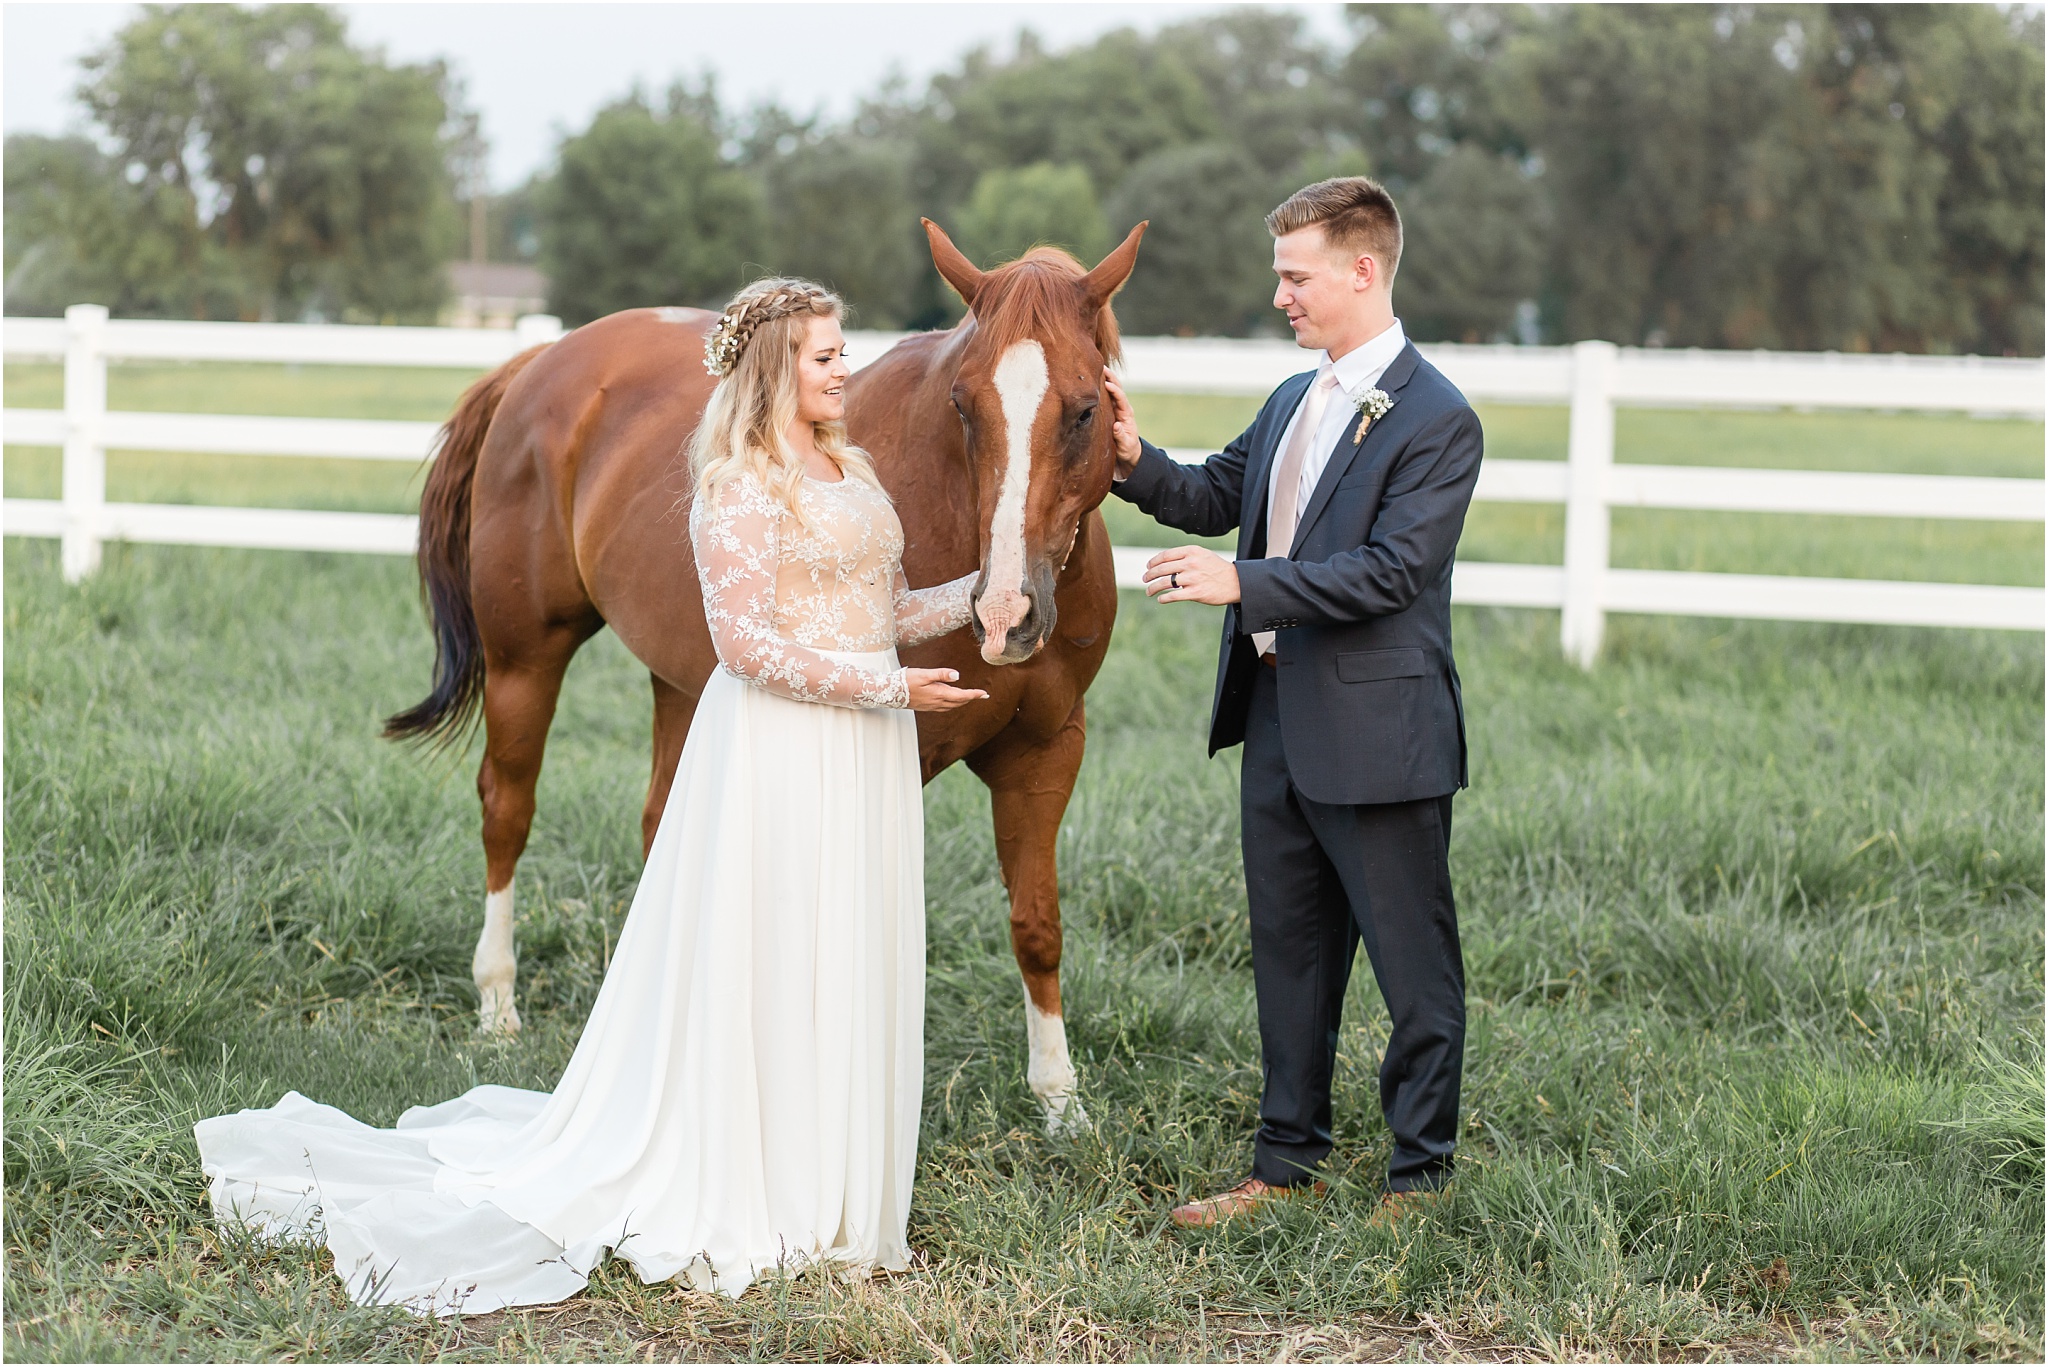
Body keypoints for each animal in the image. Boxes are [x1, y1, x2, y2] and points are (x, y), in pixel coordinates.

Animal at [385, 219, 1146, 1131]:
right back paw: (498, 1002)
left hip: (682, 679)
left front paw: (1062, 1106)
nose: (1003, 615)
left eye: (1084, 408)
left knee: (662, 827)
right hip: (524, 660)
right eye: (965, 404)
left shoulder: (1046, 753)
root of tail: (540, 363)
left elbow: (1038, 923)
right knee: (507, 809)